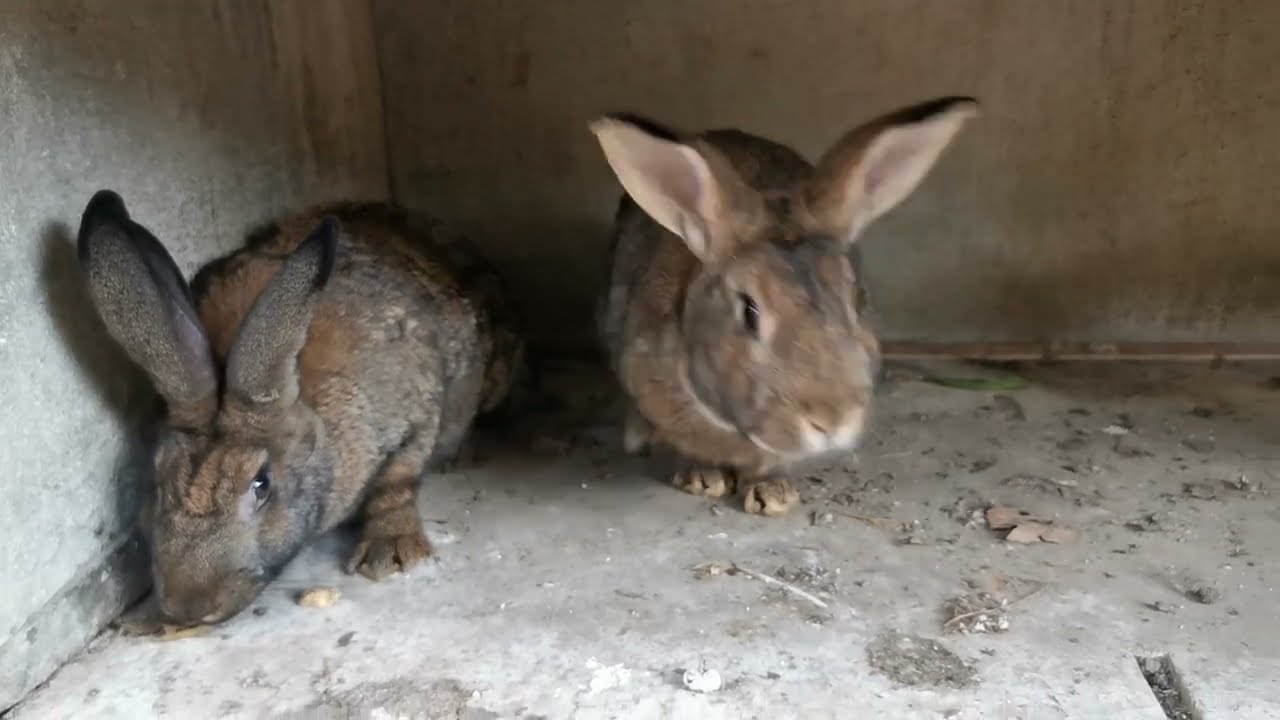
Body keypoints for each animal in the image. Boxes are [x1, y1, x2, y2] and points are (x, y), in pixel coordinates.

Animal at [77, 191, 523, 624]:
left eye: (262, 485)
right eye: (157, 481)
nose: (189, 608)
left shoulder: (418, 417)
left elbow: (396, 482)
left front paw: (390, 553)